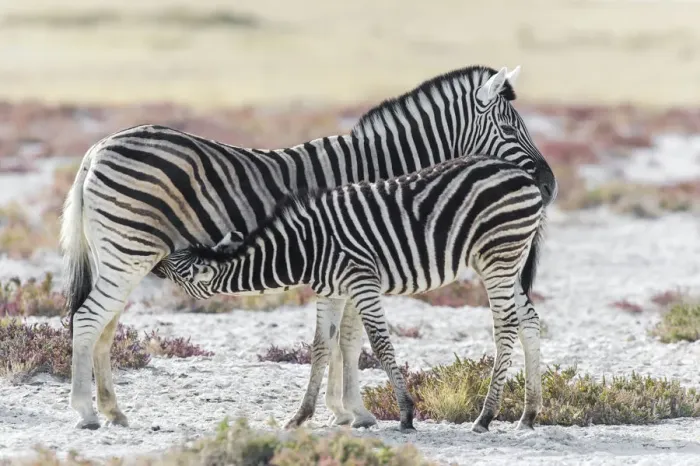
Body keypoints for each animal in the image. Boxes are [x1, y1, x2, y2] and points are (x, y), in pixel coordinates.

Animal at [153, 154, 546, 433]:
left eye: (176, 267)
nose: (154, 266)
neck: (305, 249)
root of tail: (520, 173)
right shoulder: (331, 291)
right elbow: (322, 347)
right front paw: (301, 416)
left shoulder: (361, 282)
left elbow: (380, 345)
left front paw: (405, 413)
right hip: (507, 261)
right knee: (529, 322)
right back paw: (528, 414)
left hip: (498, 257)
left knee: (505, 327)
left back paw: (486, 416)